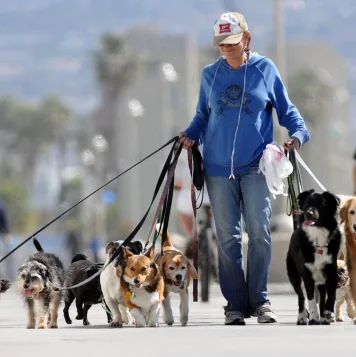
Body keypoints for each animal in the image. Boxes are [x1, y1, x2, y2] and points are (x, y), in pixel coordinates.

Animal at [286, 191, 342, 324]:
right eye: (306, 204)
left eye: (321, 205)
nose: (308, 213)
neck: (318, 235)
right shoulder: (307, 274)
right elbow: (310, 298)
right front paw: (313, 317)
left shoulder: (331, 271)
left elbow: (331, 295)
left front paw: (329, 313)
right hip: (294, 275)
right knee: (301, 296)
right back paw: (302, 317)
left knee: (321, 297)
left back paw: (324, 317)